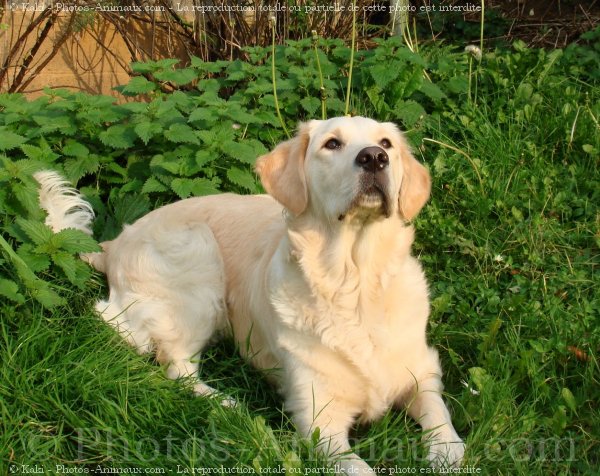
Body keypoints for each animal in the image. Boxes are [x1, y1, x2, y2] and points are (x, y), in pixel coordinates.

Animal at [35, 117, 466, 474]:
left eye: (386, 143)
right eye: (332, 143)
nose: (375, 158)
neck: (355, 284)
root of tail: (114, 243)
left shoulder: (421, 369)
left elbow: (443, 422)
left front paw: (445, 453)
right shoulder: (318, 420)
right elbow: (359, 467)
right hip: (198, 254)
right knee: (166, 358)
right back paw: (227, 406)